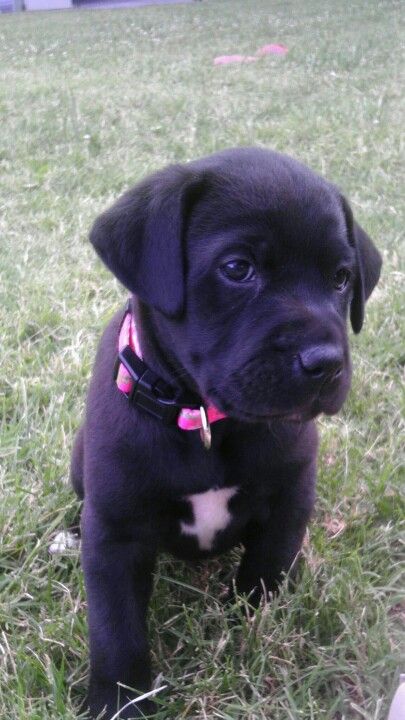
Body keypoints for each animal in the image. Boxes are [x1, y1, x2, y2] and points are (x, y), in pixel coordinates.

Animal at [70, 148, 382, 720]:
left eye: (341, 278)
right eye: (238, 268)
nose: (325, 363)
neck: (204, 421)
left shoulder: (289, 498)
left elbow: (265, 571)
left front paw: (252, 628)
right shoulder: (116, 533)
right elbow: (115, 628)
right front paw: (118, 701)